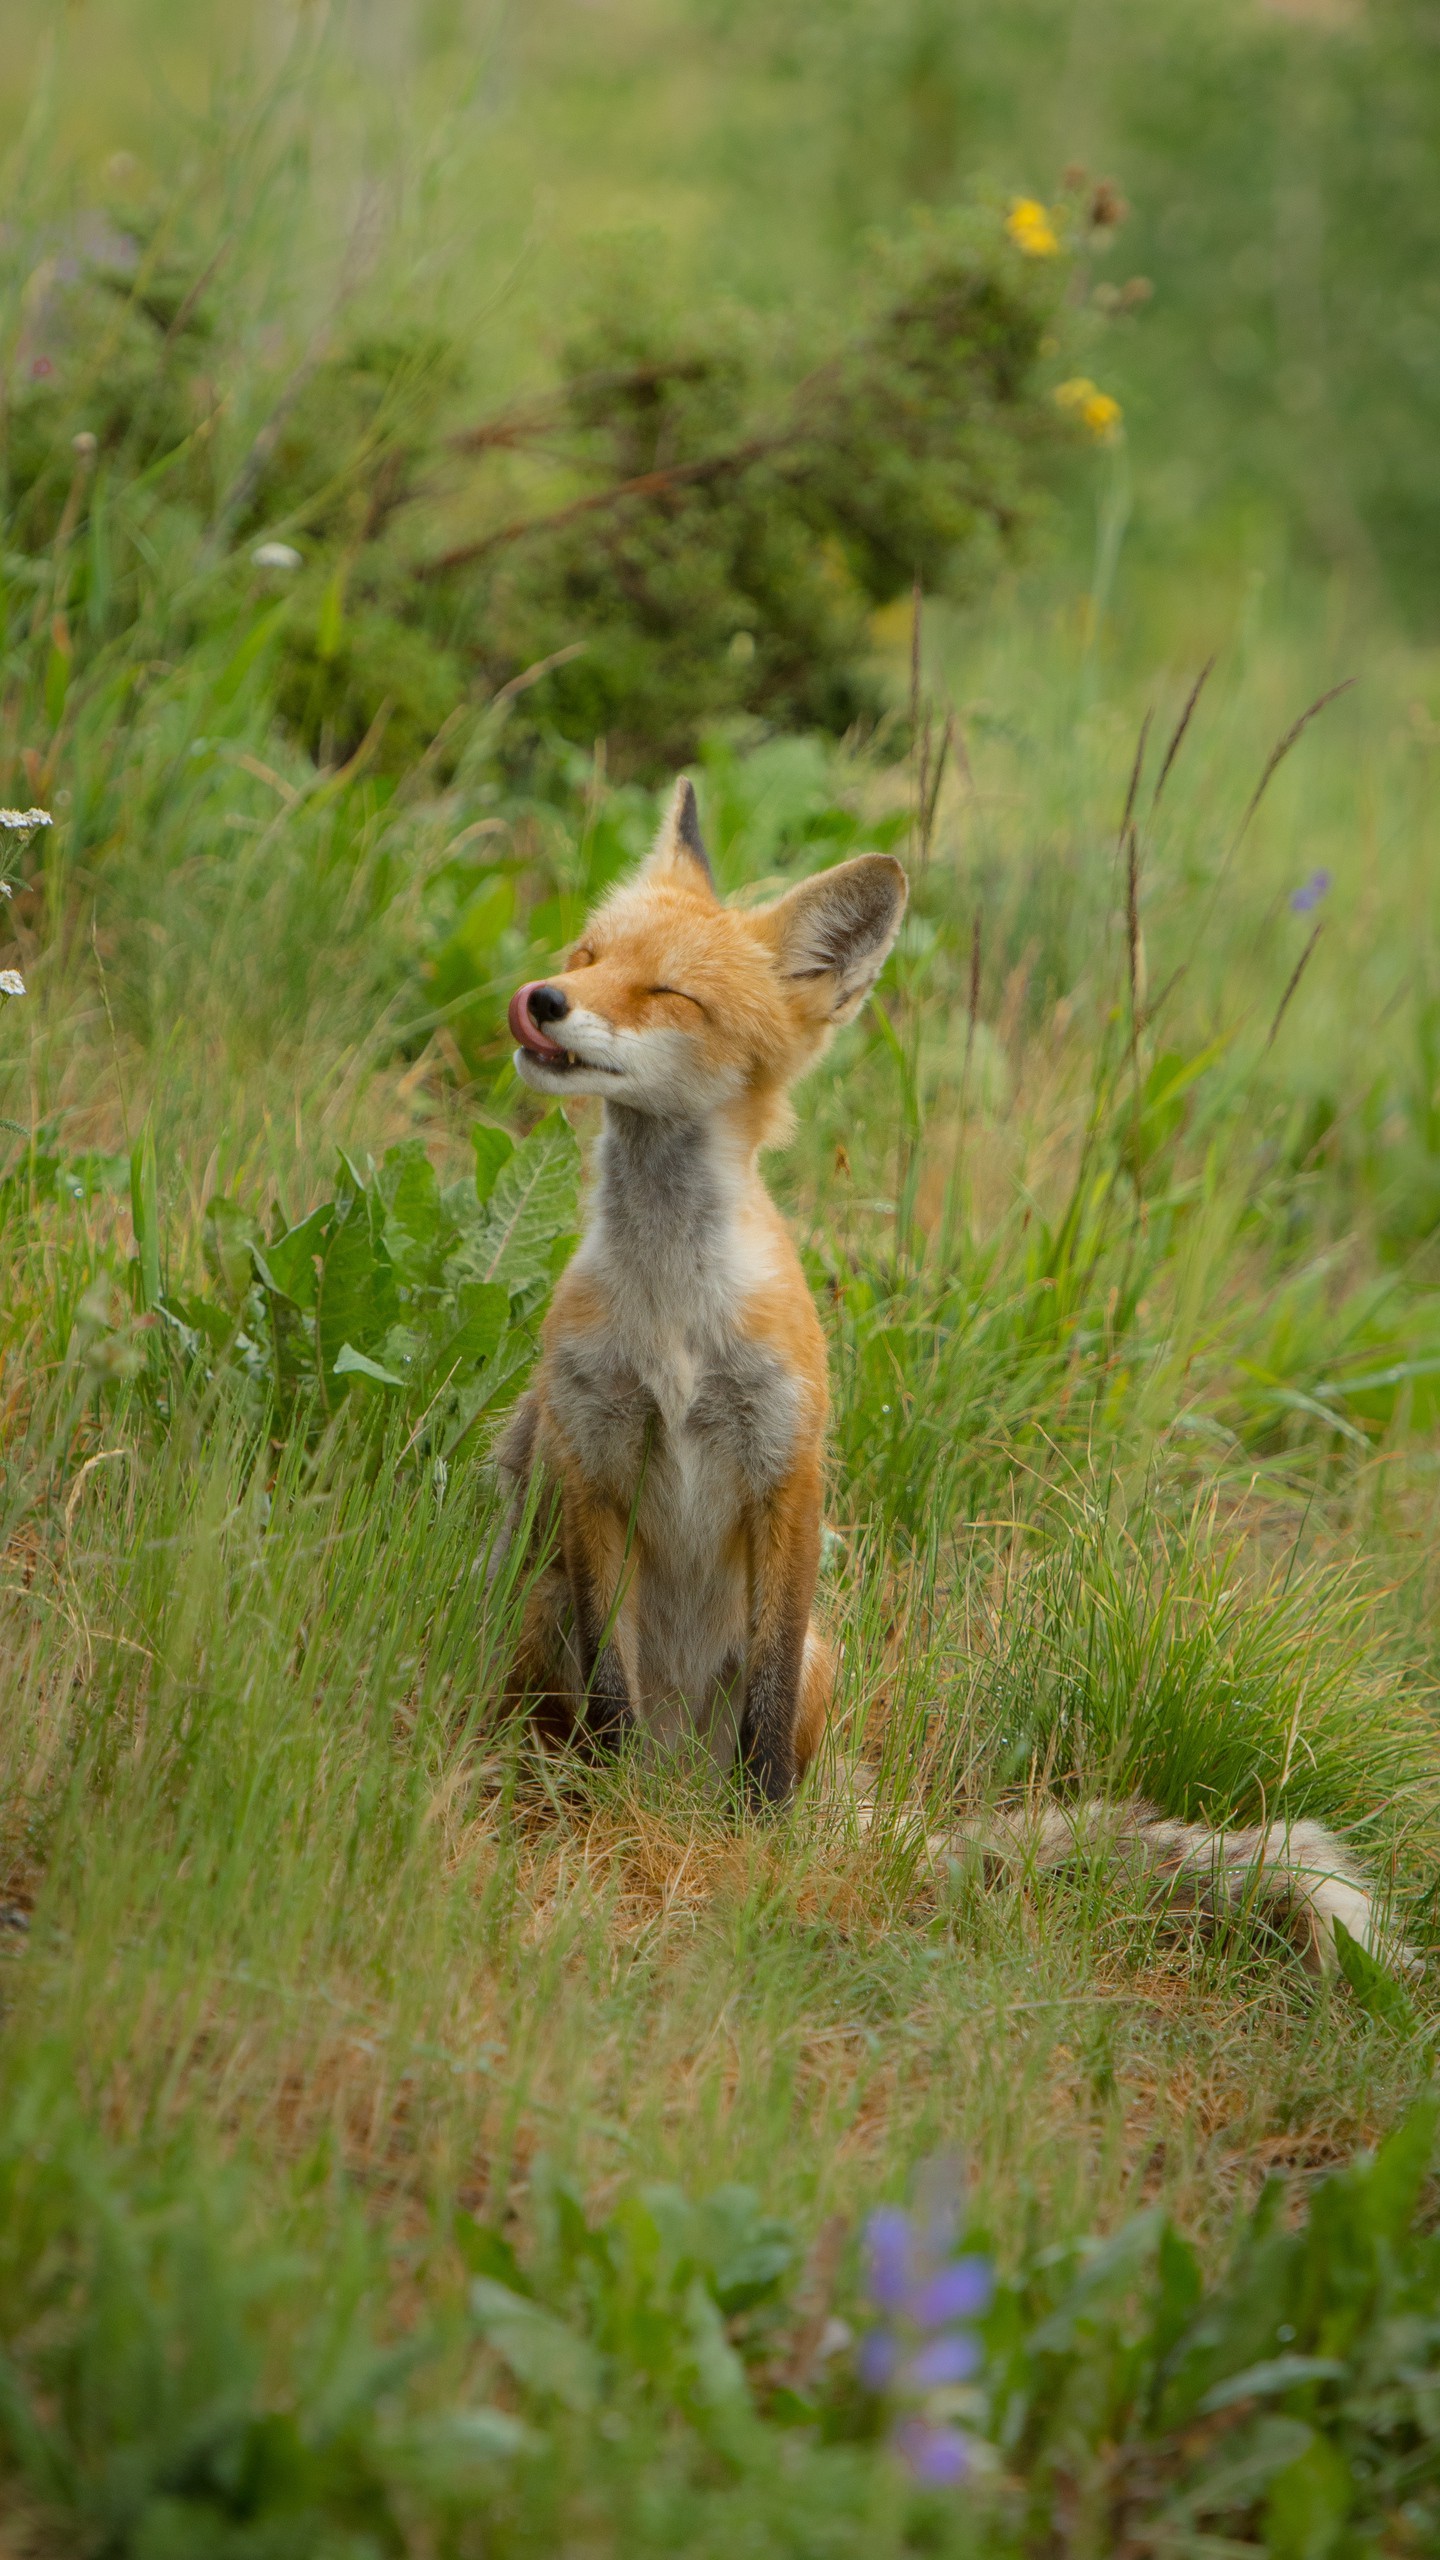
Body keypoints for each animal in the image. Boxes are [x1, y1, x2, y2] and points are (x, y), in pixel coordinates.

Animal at [499, 778, 1404, 1976]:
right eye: (588, 952)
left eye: (668, 993)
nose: (542, 999)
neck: (673, 1319)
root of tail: (677, 1777)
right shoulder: (592, 1456)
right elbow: (610, 1697)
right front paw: (610, 1824)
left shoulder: (788, 1471)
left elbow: (766, 1728)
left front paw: (760, 1856)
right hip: (541, 1611)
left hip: (820, 1658)